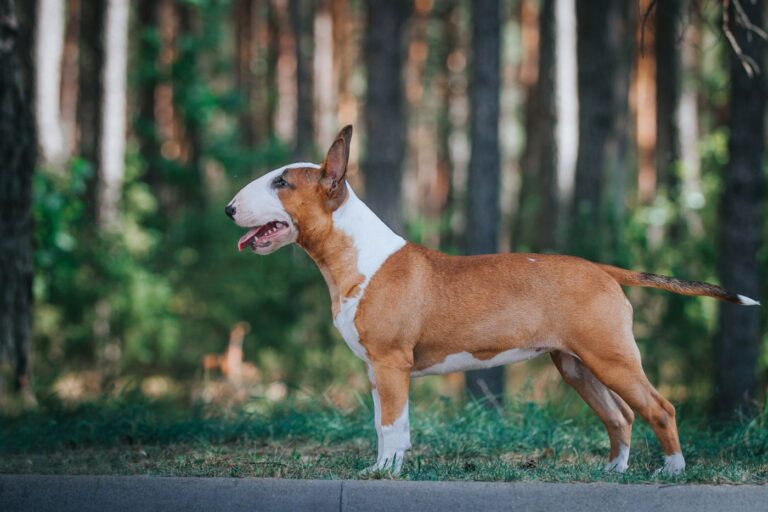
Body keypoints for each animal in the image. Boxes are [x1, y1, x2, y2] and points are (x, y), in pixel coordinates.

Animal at [225, 126, 760, 474]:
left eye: (281, 182)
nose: (229, 208)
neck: (358, 255)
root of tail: (601, 268)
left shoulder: (392, 363)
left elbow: (393, 425)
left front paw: (386, 473)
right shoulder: (377, 370)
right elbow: (383, 424)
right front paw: (380, 468)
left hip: (612, 358)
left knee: (659, 408)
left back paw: (671, 470)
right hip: (577, 366)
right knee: (620, 415)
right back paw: (614, 471)